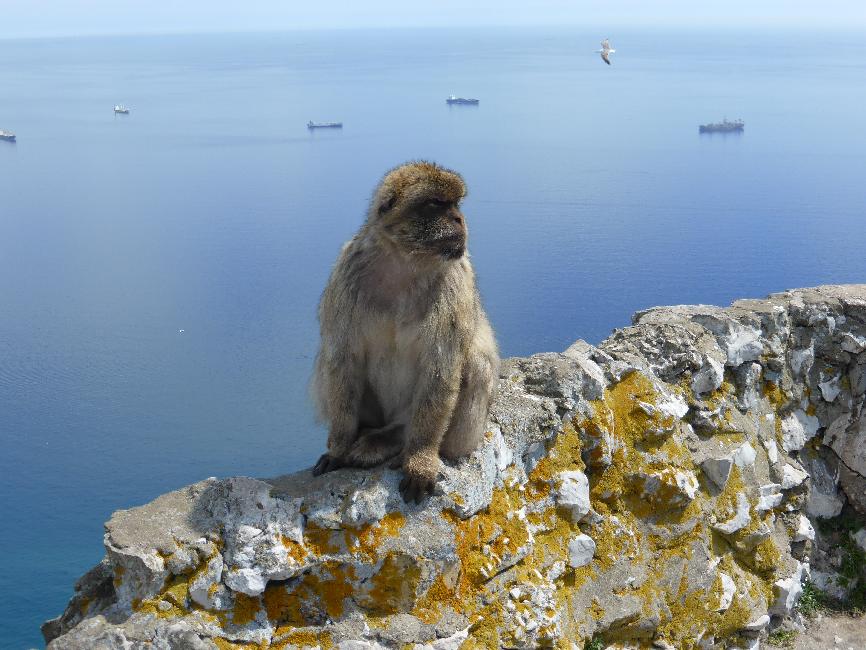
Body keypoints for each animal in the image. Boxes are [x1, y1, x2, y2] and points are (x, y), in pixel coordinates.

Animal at [310, 161, 499, 503]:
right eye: (437, 204)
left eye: (456, 204)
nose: (459, 218)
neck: (404, 263)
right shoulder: (345, 274)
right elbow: (343, 361)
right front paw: (339, 447)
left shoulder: (454, 282)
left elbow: (440, 371)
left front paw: (421, 460)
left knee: (477, 363)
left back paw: (398, 441)